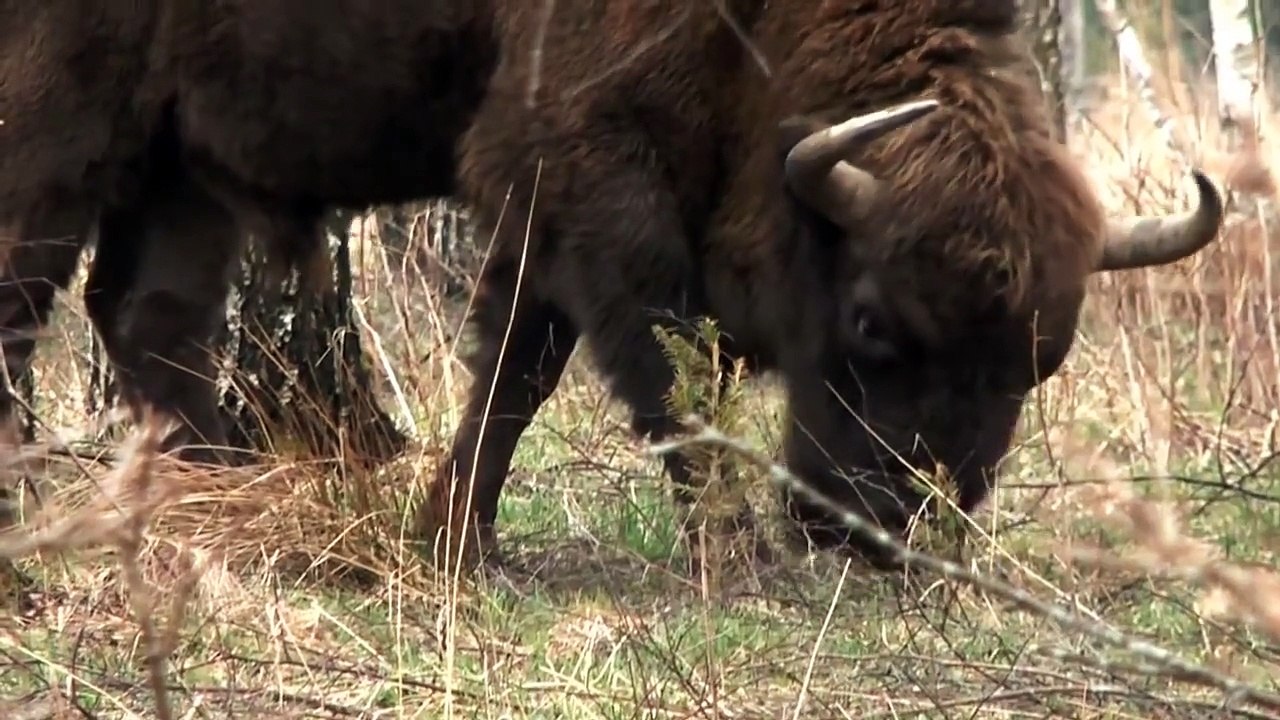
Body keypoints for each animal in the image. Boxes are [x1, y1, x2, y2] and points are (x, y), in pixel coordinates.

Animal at [416, 0, 1224, 571]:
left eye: (1041, 362)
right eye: (869, 321)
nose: (893, 533)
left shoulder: (540, 224)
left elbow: (514, 372)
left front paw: (453, 543)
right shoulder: (590, 178)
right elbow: (669, 372)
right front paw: (740, 554)